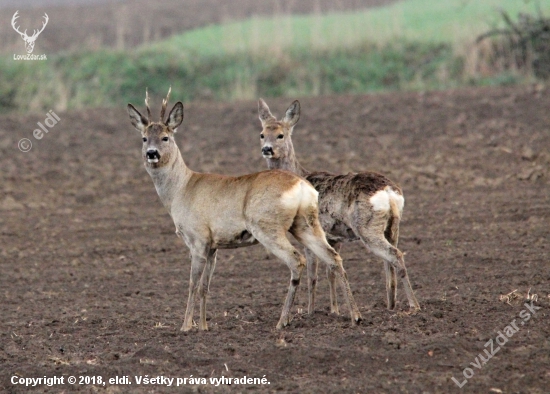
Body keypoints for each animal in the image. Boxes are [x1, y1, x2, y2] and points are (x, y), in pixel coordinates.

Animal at [127, 88, 364, 330]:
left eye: (166, 137)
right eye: (144, 138)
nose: (152, 153)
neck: (181, 189)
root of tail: (301, 186)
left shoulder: (198, 238)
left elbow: (192, 284)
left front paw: (185, 327)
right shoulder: (213, 246)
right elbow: (205, 287)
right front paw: (203, 327)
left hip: (266, 225)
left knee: (297, 260)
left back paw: (282, 321)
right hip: (306, 223)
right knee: (333, 257)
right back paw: (355, 315)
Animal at [258, 99, 422, 318]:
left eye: (280, 135)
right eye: (262, 134)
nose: (267, 149)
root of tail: (389, 192)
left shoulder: (310, 233)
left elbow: (313, 275)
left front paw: (310, 312)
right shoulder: (335, 237)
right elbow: (331, 272)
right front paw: (334, 310)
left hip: (367, 227)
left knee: (395, 255)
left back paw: (414, 305)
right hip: (393, 227)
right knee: (390, 262)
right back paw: (390, 306)